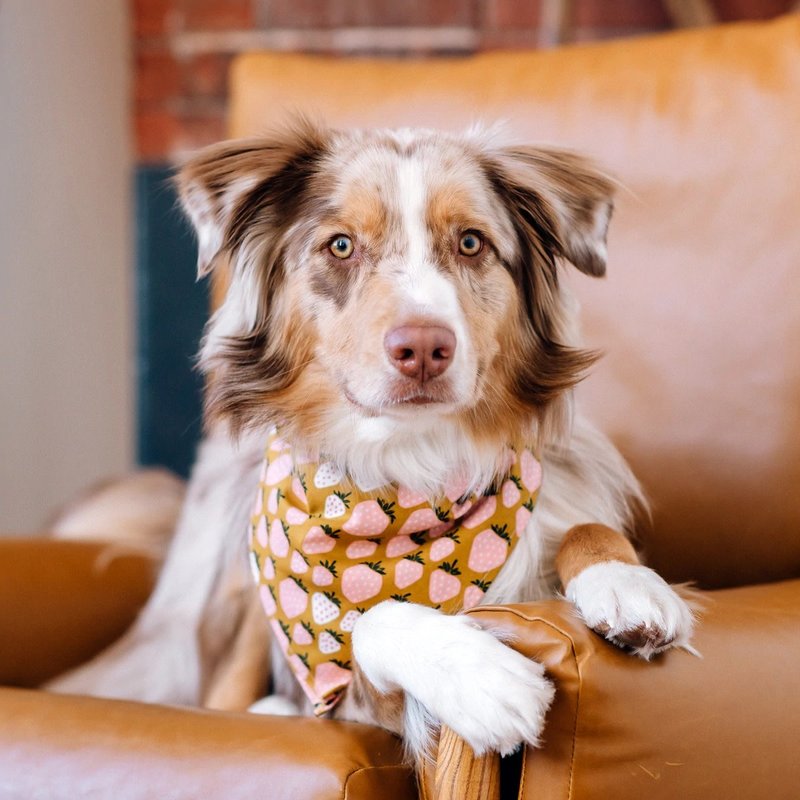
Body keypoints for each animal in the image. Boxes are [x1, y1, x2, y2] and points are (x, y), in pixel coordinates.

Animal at [48, 119, 692, 764]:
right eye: (340, 246)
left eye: (471, 243)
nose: (424, 348)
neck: (411, 465)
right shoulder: (338, 691)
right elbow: (371, 619)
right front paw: (480, 678)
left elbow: (589, 526)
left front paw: (626, 585)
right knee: (226, 699)